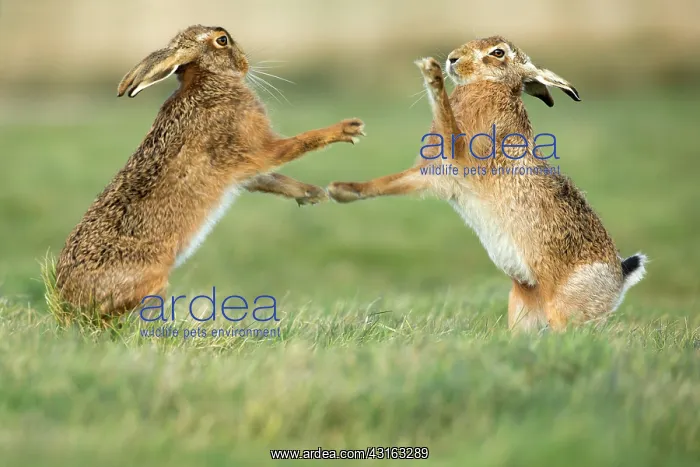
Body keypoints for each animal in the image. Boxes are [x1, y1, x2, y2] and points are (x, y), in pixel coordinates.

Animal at [55, 24, 365, 317]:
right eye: (222, 40)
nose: (245, 64)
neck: (207, 80)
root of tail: (68, 299)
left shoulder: (241, 169)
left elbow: (269, 178)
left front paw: (313, 194)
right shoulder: (256, 149)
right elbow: (297, 144)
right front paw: (347, 129)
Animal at [327, 36, 646, 332]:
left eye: (497, 52)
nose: (452, 59)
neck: (492, 85)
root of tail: (620, 278)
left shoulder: (461, 154)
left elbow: (447, 117)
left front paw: (431, 74)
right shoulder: (435, 174)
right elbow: (386, 183)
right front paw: (339, 190)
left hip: (565, 308)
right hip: (522, 305)